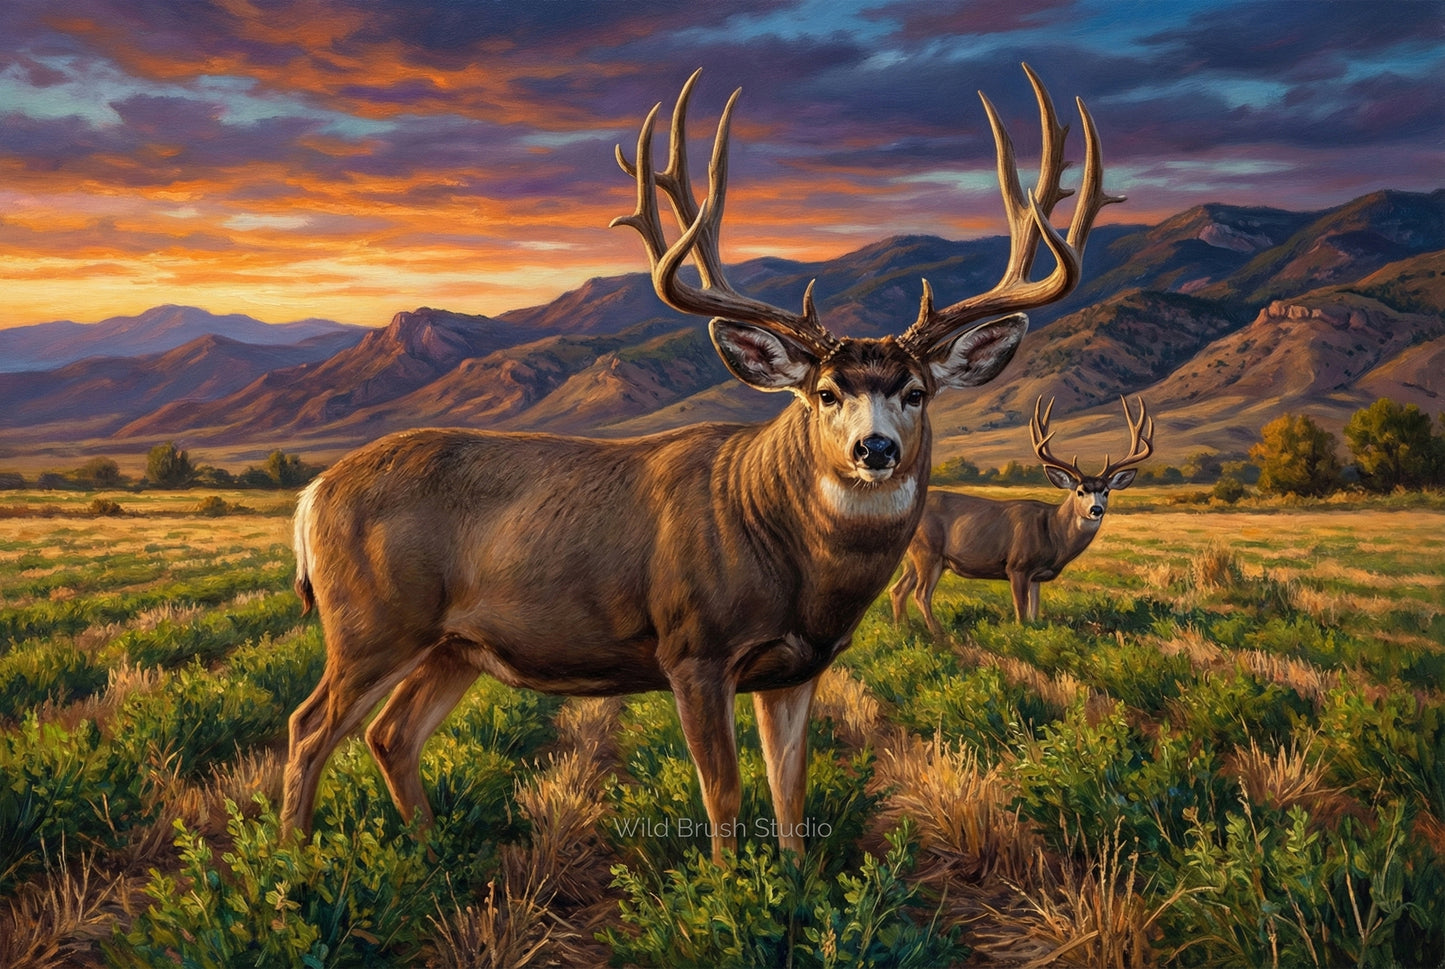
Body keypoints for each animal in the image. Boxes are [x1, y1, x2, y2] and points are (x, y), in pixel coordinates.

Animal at [280, 65, 1122, 865]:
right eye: (824, 392)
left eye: (916, 391)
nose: (874, 448)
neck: (791, 561)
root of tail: (311, 491)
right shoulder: (693, 647)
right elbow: (723, 794)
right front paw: (727, 886)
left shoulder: (798, 665)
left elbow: (790, 792)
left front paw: (792, 887)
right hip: (372, 621)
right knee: (307, 724)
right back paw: (293, 862)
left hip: (453, 644)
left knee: (390, 734)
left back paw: (430, 850)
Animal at [890, 395, 1153, 633]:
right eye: (1080, 491)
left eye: (1106, 492)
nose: (1095, 510)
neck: (1053, 533)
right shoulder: (1017, 566)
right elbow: (1021, 611)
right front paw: (1021, 633)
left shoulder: (1036, 576)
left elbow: (1034, 612)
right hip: (929, 552)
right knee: (921, 594)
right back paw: (938, 633)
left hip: (914, 557)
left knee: (897, 590)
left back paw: (904, 628)